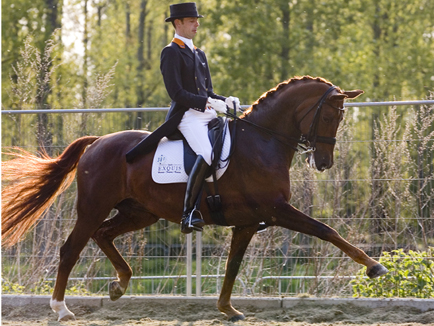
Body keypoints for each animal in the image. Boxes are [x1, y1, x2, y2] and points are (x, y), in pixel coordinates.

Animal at [0, 76, 386, 320]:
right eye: (332, 115)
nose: (323, 163)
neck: (263, 142)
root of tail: (96, 142)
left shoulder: (248, 222)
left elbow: (233, 265)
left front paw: (228, 309)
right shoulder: (277, 210)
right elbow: (326, 231)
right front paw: (374, 267)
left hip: (140, 213)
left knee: (103, 234)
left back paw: (119, 285)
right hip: (93, 207)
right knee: (71, 249)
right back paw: (61, 308)